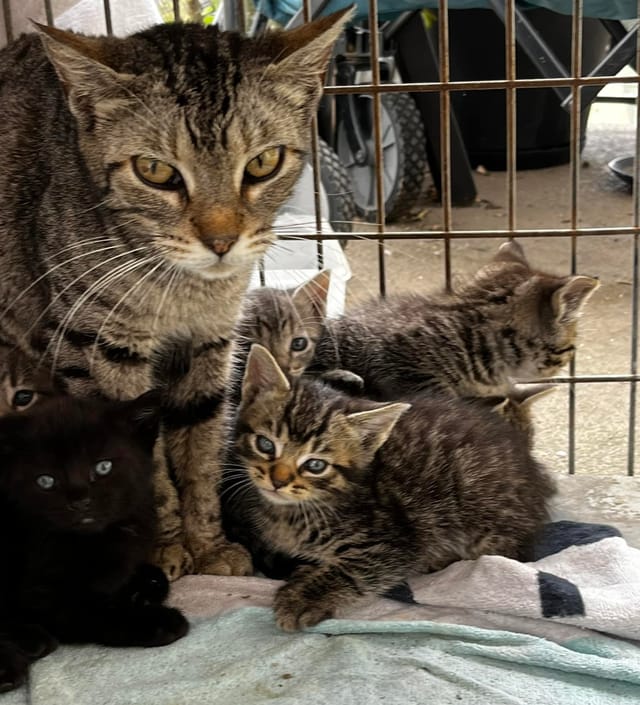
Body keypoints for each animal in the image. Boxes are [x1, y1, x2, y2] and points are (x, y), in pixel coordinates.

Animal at [0, 11, 350, 580]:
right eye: (156, 171)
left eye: (264, 163)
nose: (222, 241)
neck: (183, 290)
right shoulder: (97, 350)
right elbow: (146, 463)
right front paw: (163, 544)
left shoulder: (210, 345)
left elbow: (201, 452)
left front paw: (207, 542)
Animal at [0, 394, 190, 692]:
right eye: (46, 481)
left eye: (103, 467)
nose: (79, 501)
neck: (99, 538)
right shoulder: (42, 594)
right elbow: (96, 610)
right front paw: (158, 620)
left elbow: (153, 576)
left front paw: (141, 589)